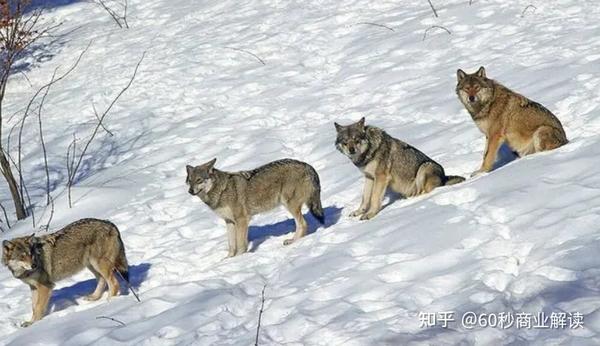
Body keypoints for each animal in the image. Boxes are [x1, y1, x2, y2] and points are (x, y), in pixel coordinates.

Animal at [188, 157, 326, 256]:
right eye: (189, 181)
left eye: (199, 180)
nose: (190, 191)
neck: (221, 190)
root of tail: (307, 165)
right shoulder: (229, 221)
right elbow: (231, 245)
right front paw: (228, 260)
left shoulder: (242, 220)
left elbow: (240, 245)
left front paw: (240, 258)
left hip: (289, 204)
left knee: (303, 224)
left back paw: (293, 241)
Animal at [332, 117, 464, 220]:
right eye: (345, 142)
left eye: (356, 140)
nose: (351, 150)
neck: (369, 152)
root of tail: (444, 177)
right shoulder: (369, 177)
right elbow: (365, 198)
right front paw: (359, 212)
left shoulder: (381, 177)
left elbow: (374, 197)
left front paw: (370, 214)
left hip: (424, 167)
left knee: (425, 192)